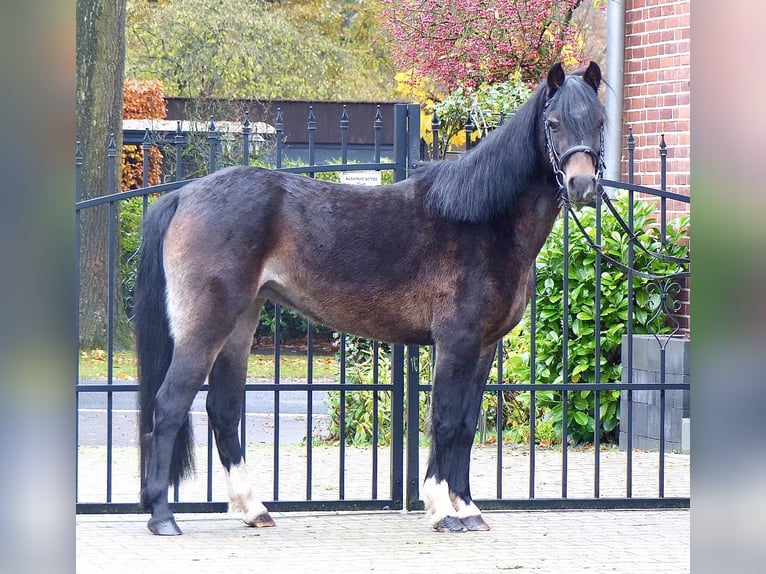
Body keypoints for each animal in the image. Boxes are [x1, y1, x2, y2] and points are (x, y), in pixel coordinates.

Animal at [136, 62, 608, 536]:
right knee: (171, 403)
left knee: (223, 409)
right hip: (207, 326)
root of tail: (184, 195)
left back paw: (254, 509)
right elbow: (444, 420)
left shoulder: (484, 347)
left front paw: (468, 509)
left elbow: (466, 424)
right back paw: (162, 516)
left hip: (240, 324)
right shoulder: (456, 342)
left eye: (600, 122)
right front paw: (442, 510)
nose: (582, 184)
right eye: (553, 123)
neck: (483, 220)